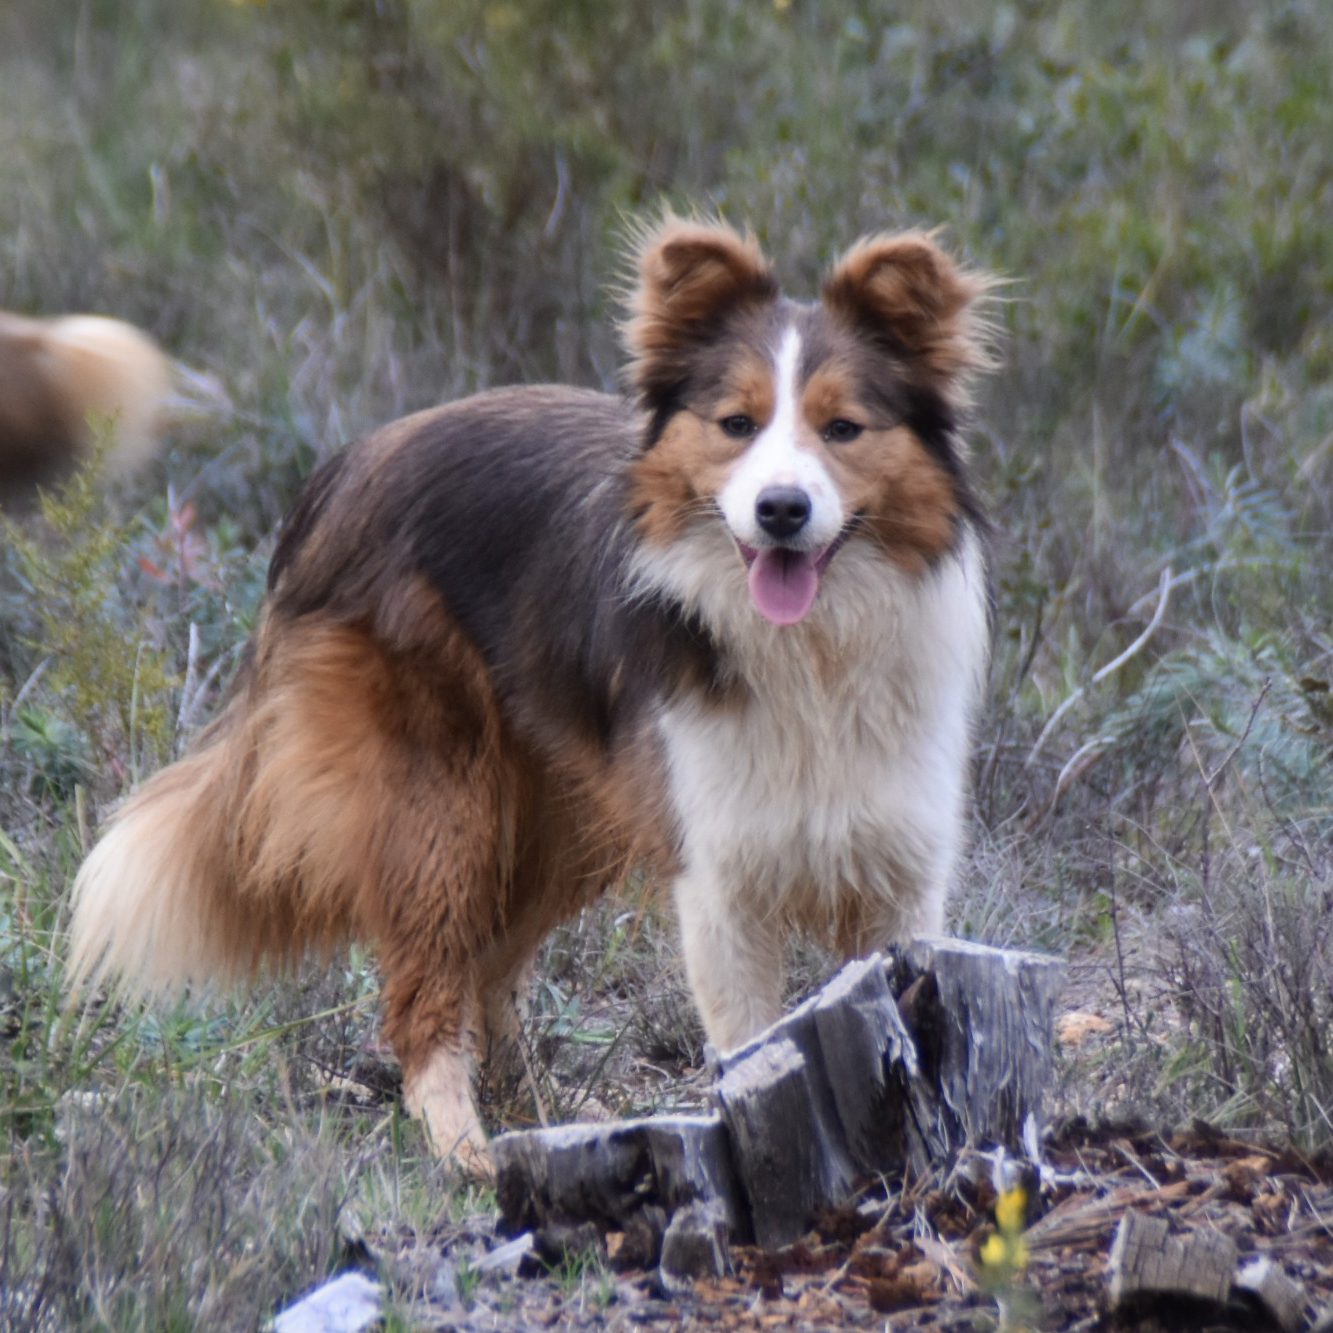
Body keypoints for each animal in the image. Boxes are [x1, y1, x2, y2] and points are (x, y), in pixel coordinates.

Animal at [69, 219, 994, 1173]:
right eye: (735, 425)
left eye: (842, 428)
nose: (780, 509)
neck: (811, 651)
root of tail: (348, 464)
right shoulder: (717, 878)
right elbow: (750, 1041)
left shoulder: (898, 870)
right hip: (441, 798)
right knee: (428, 984)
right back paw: (463, 1146)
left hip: (563, 811)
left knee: (489, 964)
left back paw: (547, 1112)